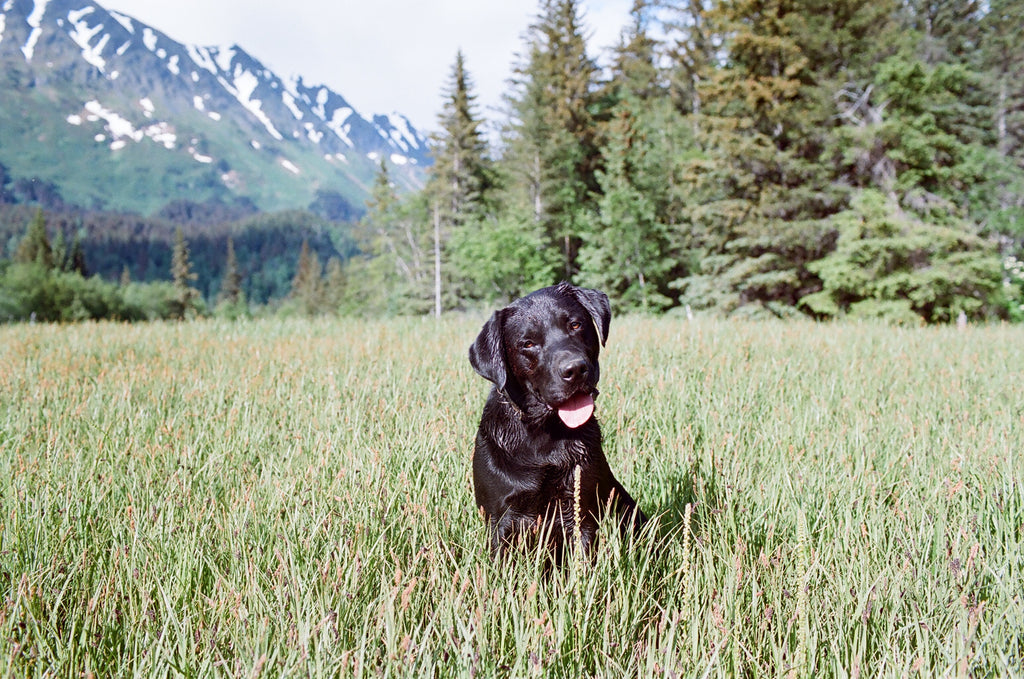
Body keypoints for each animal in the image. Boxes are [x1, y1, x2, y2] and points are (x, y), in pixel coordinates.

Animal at [468, 280, 643, 561]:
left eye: (575, 324)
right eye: (527, 343)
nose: (575, 369)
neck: (547, 433)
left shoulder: (582, 512)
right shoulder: (500, 519)